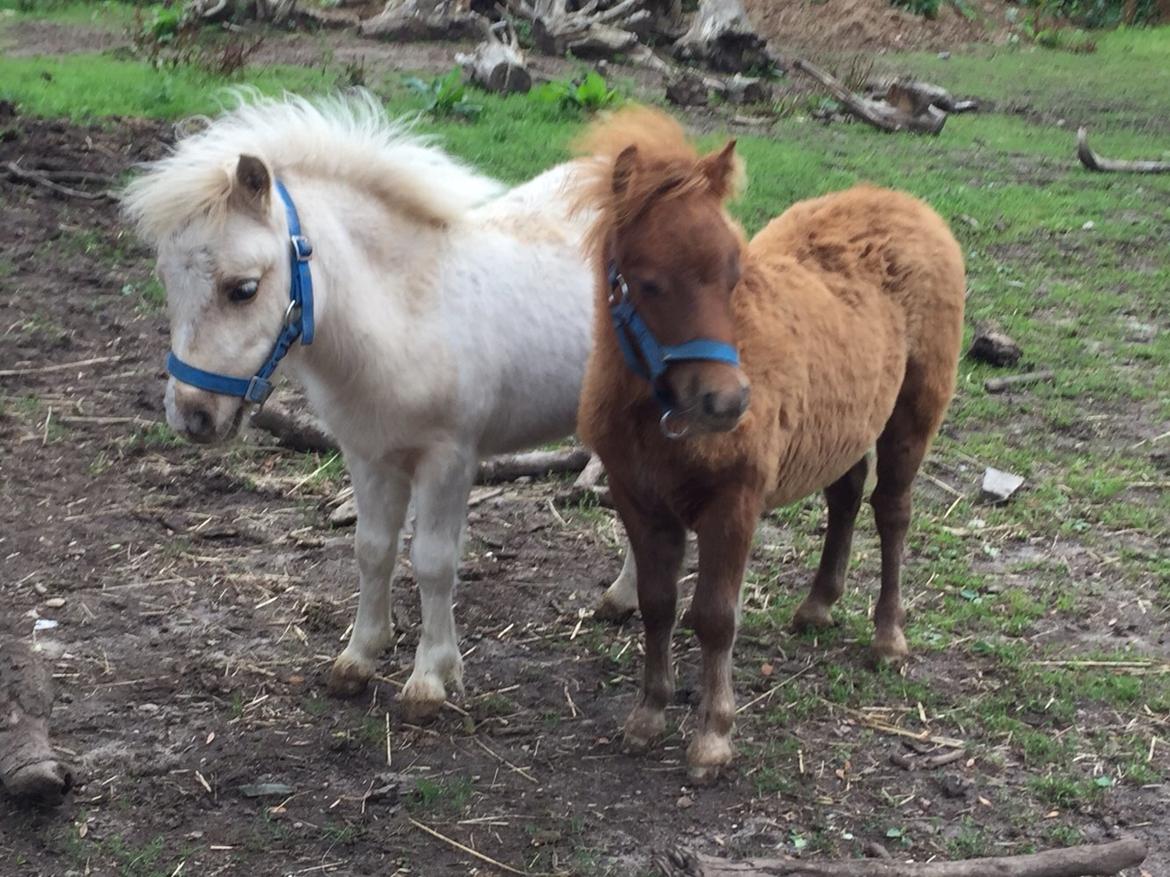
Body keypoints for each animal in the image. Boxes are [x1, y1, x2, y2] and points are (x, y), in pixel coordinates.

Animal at [123, 92, 636, 715]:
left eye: (242, 289)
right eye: (164, 278)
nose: (191, 416)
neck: (406, 308)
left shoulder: (448, 460)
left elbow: (434, 561)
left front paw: (430, 679)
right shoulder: (366, 454)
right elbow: (372, 549)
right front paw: (359, 657)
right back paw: (622, 599)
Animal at [575, 106, 968, 785]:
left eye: (735, 273)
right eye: (647, 284)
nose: (728, 403)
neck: (657, 412)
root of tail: (907, 204)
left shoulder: (734, 503)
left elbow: (713, 617)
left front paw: (712, 736)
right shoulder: (639, 502)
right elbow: (657, 605)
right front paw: (648, 714)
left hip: (912, 416)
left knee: (892, 511)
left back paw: (888, 637)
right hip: (842, 421)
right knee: (844, 497)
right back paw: (817, 605)